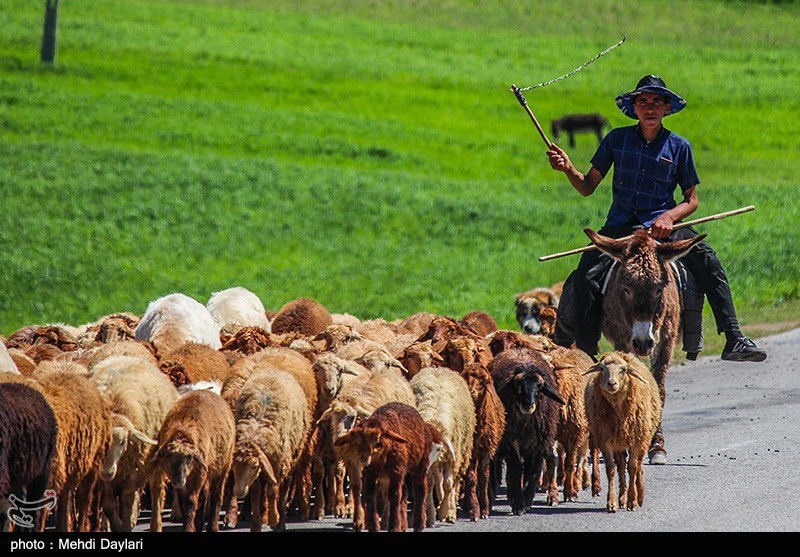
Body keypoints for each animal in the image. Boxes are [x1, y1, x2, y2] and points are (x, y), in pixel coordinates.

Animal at [147, 386, 234, 528]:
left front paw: (188, 527)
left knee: (216, 497)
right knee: (204, 496)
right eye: (167, 458)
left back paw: (212, 526)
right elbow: (185, 502)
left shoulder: (198, 474)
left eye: (190, 458)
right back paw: (200, 522)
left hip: (223, 467)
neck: (182, 432)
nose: (178, 479)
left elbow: (190, 502)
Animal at [332, 400, 444, 528]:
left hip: (419, 468)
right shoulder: (371, 475)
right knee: (403, 493)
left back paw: (418, 523)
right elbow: (370, 496)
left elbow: (394, 496)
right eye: (356, 443)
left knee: (420, 491)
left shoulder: (396, 473)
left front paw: (394, 525)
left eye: (378, 442)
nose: (364, 459)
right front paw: (373, 524)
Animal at [488, 348, 564, 512]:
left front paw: (527, 500)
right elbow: (516, 468)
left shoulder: (540, 443)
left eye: (539, 386)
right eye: (517, 384)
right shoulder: (510, 441)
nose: (528, 404)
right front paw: (518, 503)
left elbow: (534, 470)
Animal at [580, 352, 664, 512]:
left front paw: (633, 500)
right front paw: (612, 502)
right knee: (621, 464)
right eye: (602, 368)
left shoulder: (636, 439)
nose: (611, 384)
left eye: (623, 370)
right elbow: (611, 469)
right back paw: (622, 498)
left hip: (643, 436)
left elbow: (632, 467)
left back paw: (639, 495)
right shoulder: (605, 439)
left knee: (638, 465)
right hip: (619, 441)